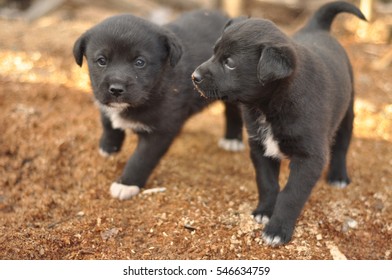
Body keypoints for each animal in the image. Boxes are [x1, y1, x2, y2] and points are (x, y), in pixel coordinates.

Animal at [73, 9, 243, 200]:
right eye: (102, 61)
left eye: (140, 62)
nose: (116, 89)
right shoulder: (103, 99)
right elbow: (108, 123)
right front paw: (108, 147)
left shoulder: (161, 131)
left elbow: (141, 158)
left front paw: (127, 183)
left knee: (234, 112)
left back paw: (232, 140)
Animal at [191, 0, 366, 245]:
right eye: (214, 52)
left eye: (230, 63)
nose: (194, 76)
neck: (270, 105)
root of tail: (318, 28)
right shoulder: (260, 147)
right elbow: (267, 183)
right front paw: (264, 211)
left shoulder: (309, 158)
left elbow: (291, 195)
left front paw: (278, 229)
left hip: (348, 110)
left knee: (341, 145)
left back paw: (338, 176)